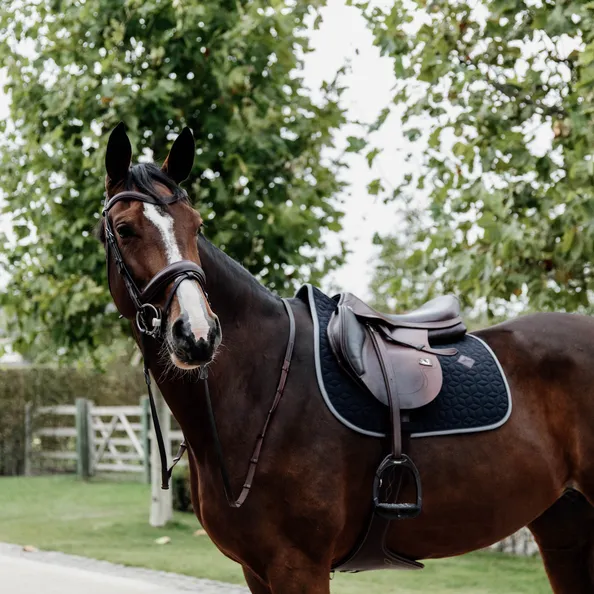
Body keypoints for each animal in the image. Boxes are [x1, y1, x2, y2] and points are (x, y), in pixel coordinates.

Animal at [99, 122, 592, 588]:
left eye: (196, 226)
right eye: (124, 229)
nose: (197, 334)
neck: (259, 387)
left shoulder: (299, 566)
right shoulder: (257, 570)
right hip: (564, 526)